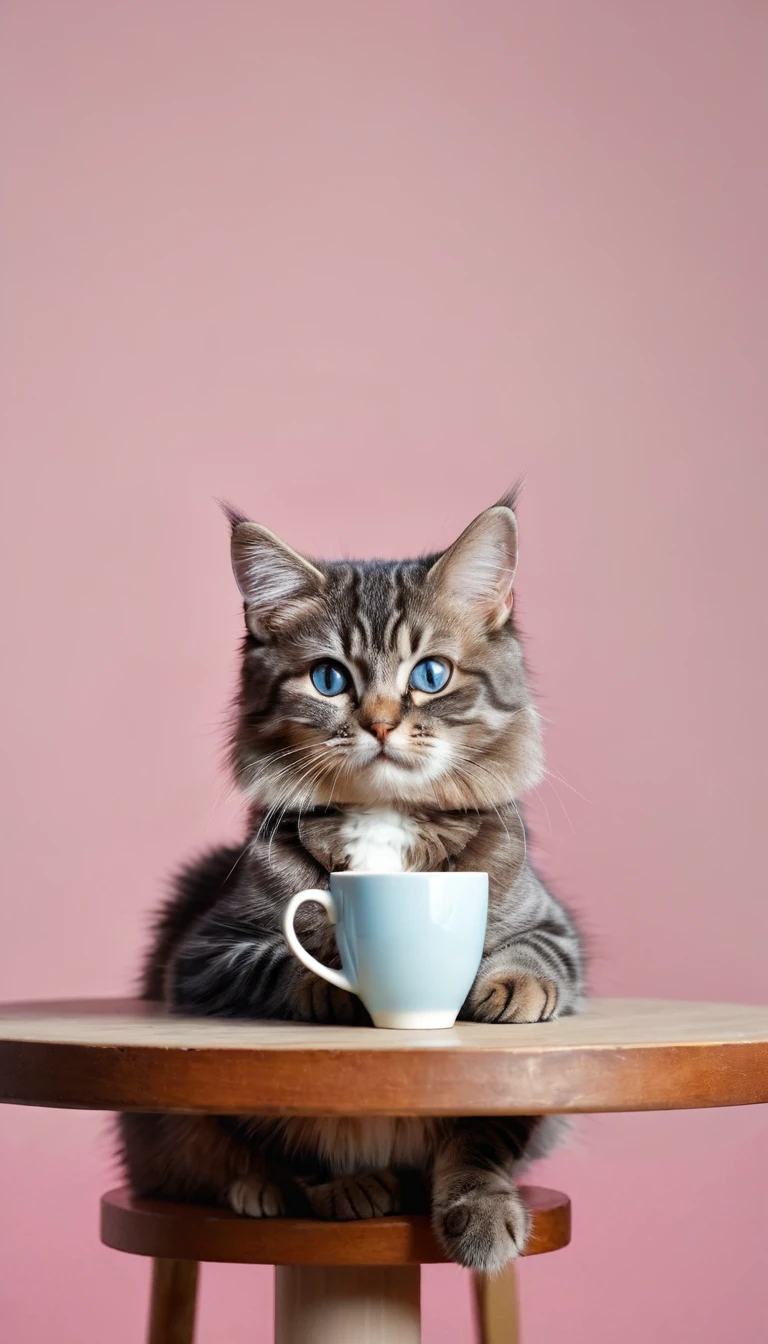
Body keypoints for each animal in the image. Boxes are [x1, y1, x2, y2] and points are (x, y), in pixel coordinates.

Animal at [120, 491, 586, 1268]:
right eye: (330, 679)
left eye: (430, 675)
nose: (380, 724)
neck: (385, 817)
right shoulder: (203, 955)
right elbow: (289, 967)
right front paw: (346, 1182)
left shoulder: (550, 923)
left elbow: (487, 1116)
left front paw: (481, 1211)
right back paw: (275, 1190)